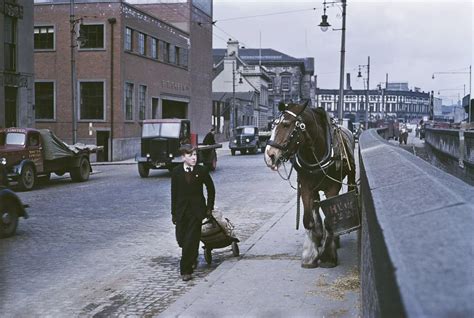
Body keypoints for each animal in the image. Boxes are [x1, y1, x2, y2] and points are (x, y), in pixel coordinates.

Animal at [264, 102, 354, 268]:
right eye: (273, 125)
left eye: (286, 124)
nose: (269, 155)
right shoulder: (306, 187)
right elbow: (307, 219)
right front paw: (310, 254)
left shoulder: (332, 188)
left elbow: (330, 220)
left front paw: (328, 256)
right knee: (316, 206)